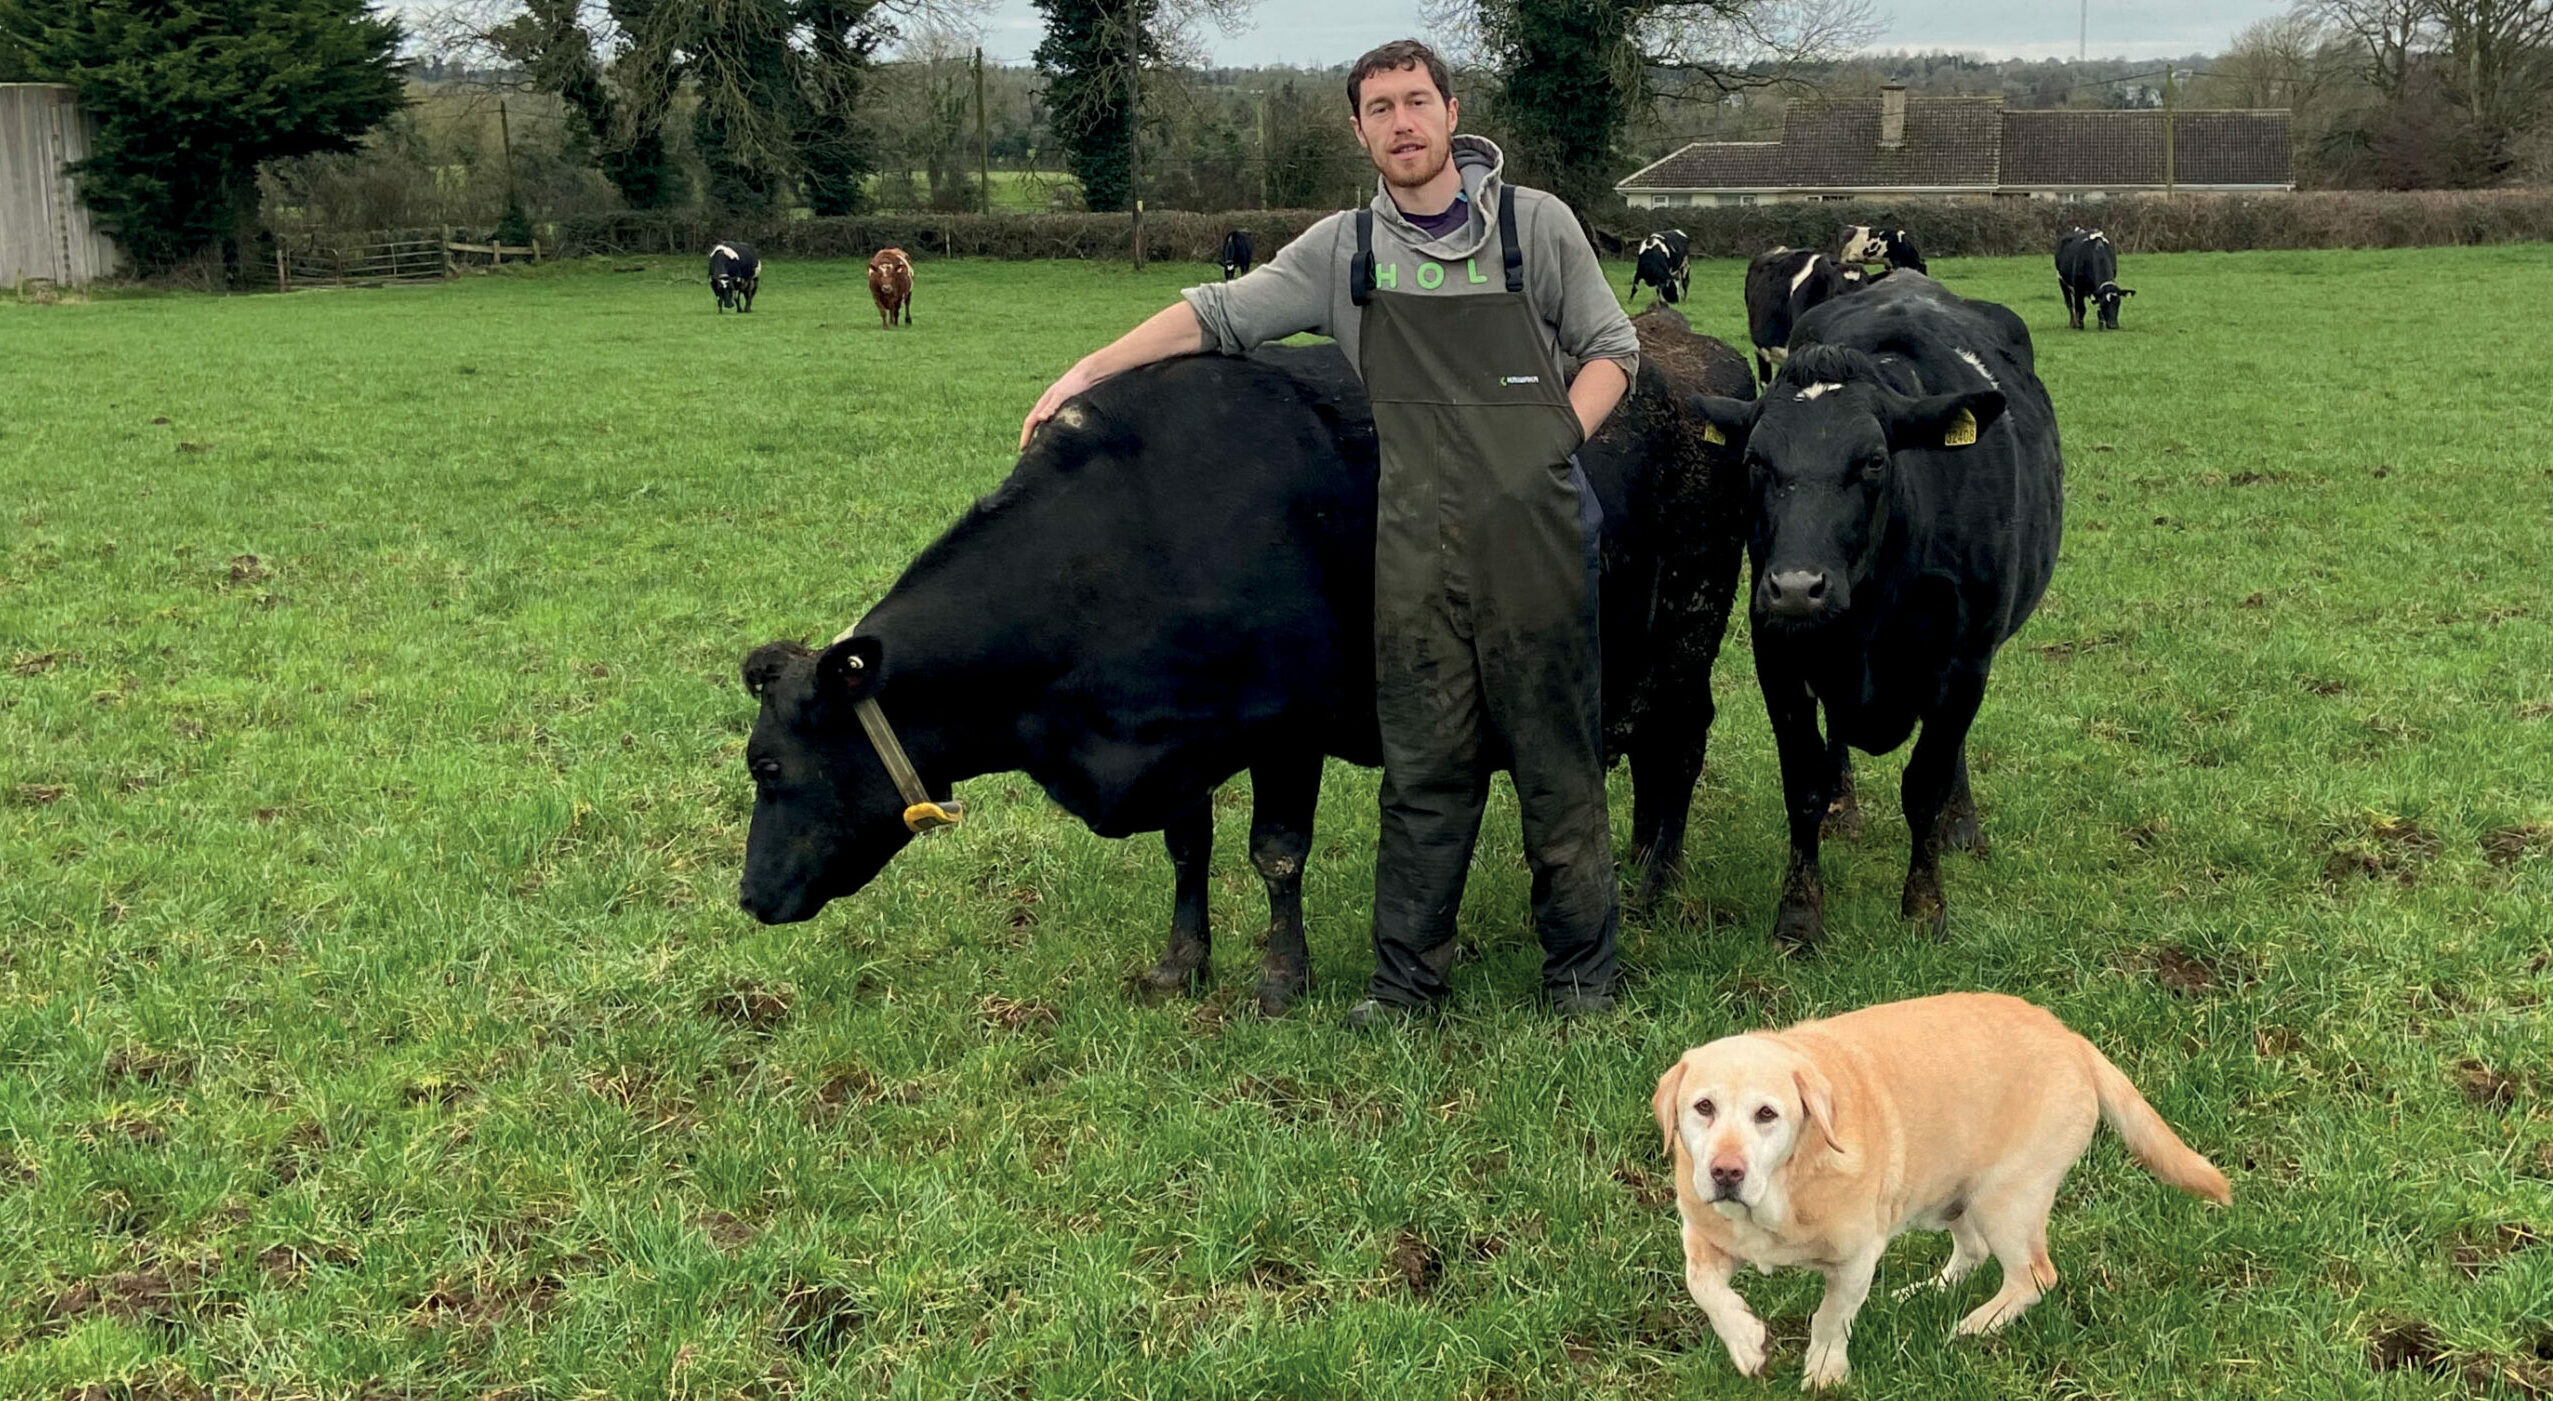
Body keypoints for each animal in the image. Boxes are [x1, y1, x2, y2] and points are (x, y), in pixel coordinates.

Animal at [740, 306, 1756, 1010]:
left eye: (769, 766)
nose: (750, 897)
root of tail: (1680, 345)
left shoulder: (1287, 726)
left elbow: (1275, 853)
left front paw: (1280, 978)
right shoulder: (1177, 739)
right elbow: (1187, 846)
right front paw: (1181, 961)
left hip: (1686, 635)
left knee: (1680, 748)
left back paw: (1655, 883)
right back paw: (1635, 864)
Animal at [1654, 995, 2216, 1388]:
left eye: (1767, 1114)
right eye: (1703, 1107)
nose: (1726, 1172)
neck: (1783, 1188)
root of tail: (2071, 1038)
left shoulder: (1856, 1258)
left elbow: (1831, 1317)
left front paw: (1824, 1371)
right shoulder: (1701, 1237)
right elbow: (1702, 1287)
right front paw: (1746, 1342)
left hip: (2005, 1200)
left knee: (2035, 1276)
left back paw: (1977, 1325)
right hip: (1948, 1193)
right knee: (1973, 1251)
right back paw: (1925, 1292)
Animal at [1684, 270, 2062, 949]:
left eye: (1874, 460)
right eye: (1754, 461)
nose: (1797, 586)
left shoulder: (1965, 661)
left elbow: (1926, 785)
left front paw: (1925, 907)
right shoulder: (1777, 655)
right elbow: (1802, 784)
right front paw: (1800, 915)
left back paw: (1961, 827)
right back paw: (1844, 808)